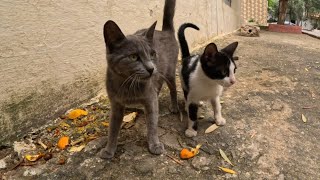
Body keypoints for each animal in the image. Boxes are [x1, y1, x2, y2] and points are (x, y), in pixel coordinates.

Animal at [98, 0, 178, 160]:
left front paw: (154, 145)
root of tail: (165, 31)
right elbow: (112, 128)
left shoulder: (150, 99)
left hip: (170, 73)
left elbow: (152, 123)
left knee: (173, 89)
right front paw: (109, 150)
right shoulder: (116, 105)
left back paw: (174, 106)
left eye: (152, 54)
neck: (127, 84)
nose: (151, 68)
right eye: (134, 57)